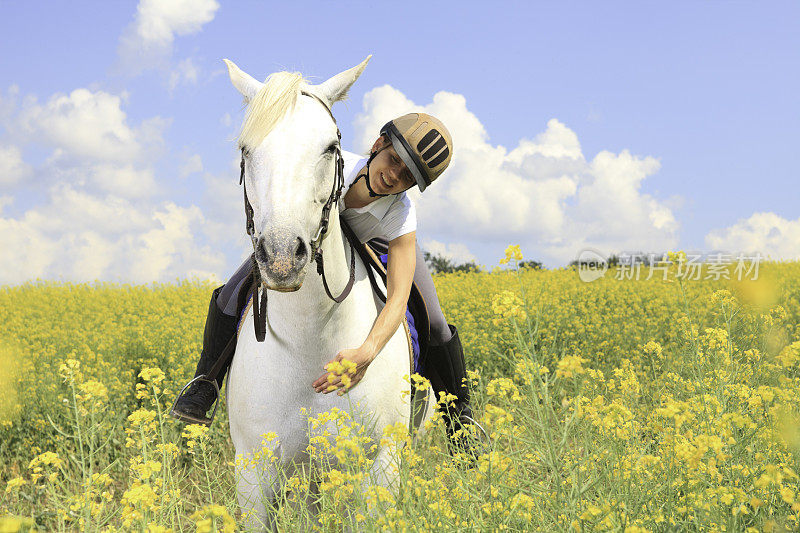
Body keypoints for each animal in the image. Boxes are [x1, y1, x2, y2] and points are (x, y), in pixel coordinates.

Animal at [222, 56, 432, 528]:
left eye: (330, 148)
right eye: (246, 150)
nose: (283, 256)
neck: (308, 343)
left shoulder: (380, 467)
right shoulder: (254, 475)